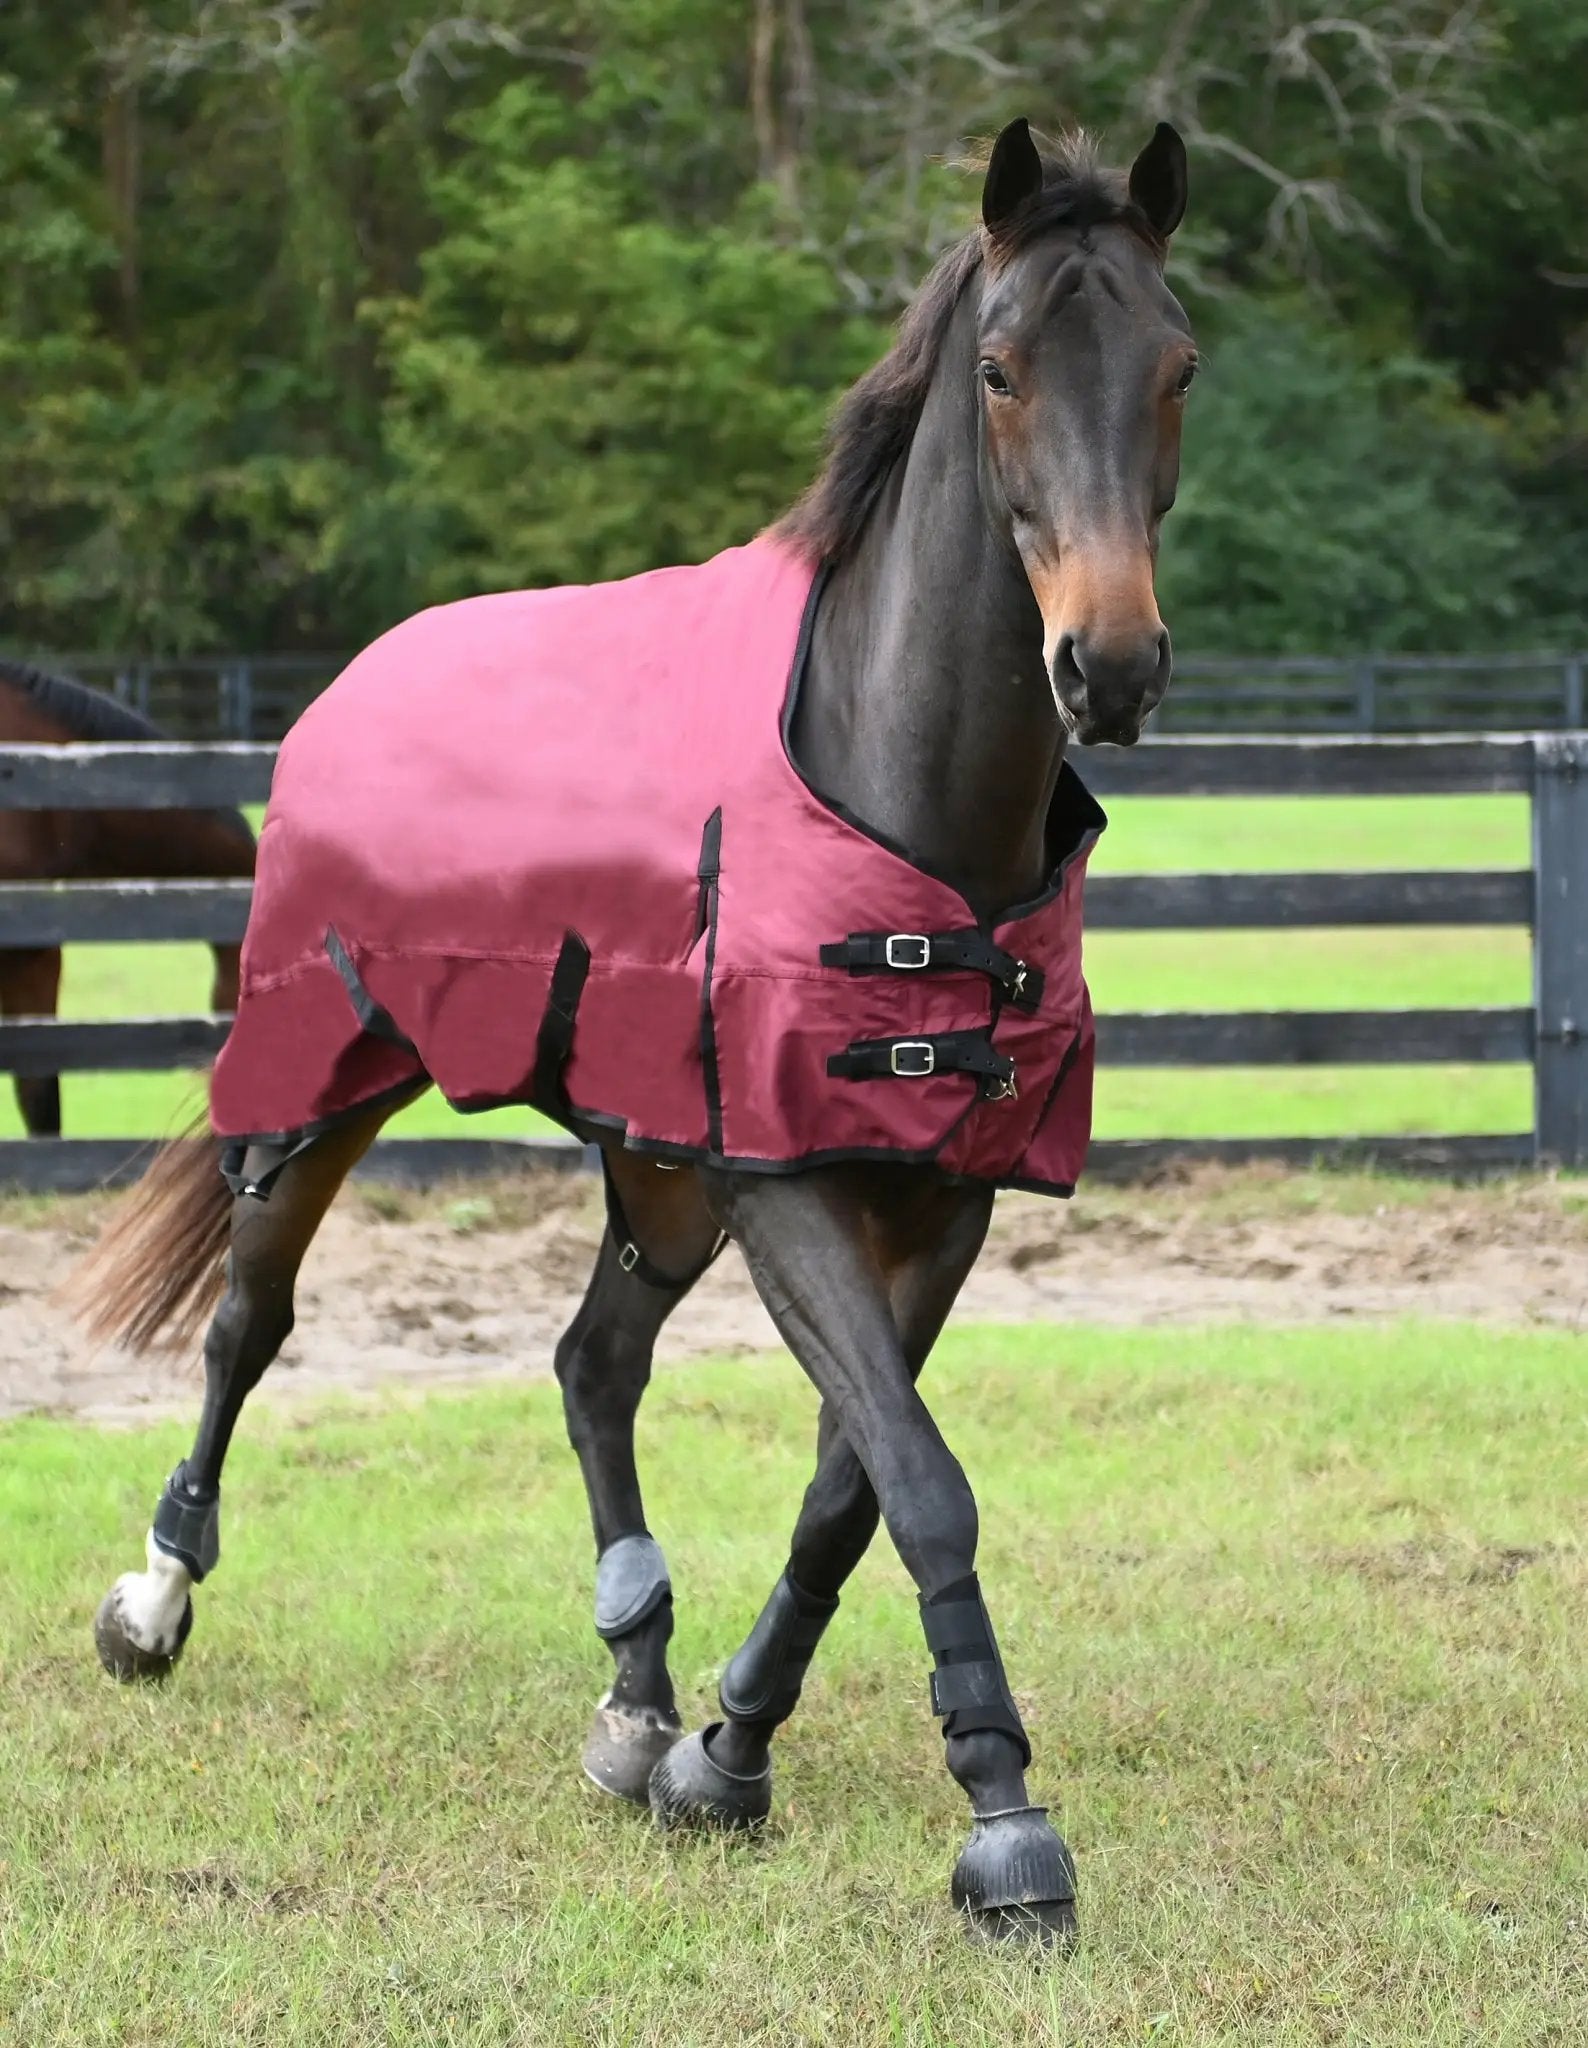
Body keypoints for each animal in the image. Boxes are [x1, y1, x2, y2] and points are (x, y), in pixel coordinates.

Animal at [74, 119, 1193, 1947]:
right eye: (1000, 367)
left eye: (1176, 365)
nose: (1107, 663)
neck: (903, 795)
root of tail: (346, 684)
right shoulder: (785, 1183)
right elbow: (918, 1478)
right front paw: (1005, 1820)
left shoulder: (930, 1198)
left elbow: (846, 1490)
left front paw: (722, 1752)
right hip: (327, 1084)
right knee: (248, 1326)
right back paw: (155, 1599)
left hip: (656, 1169)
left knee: (592, 1364)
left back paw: (634, 1684)